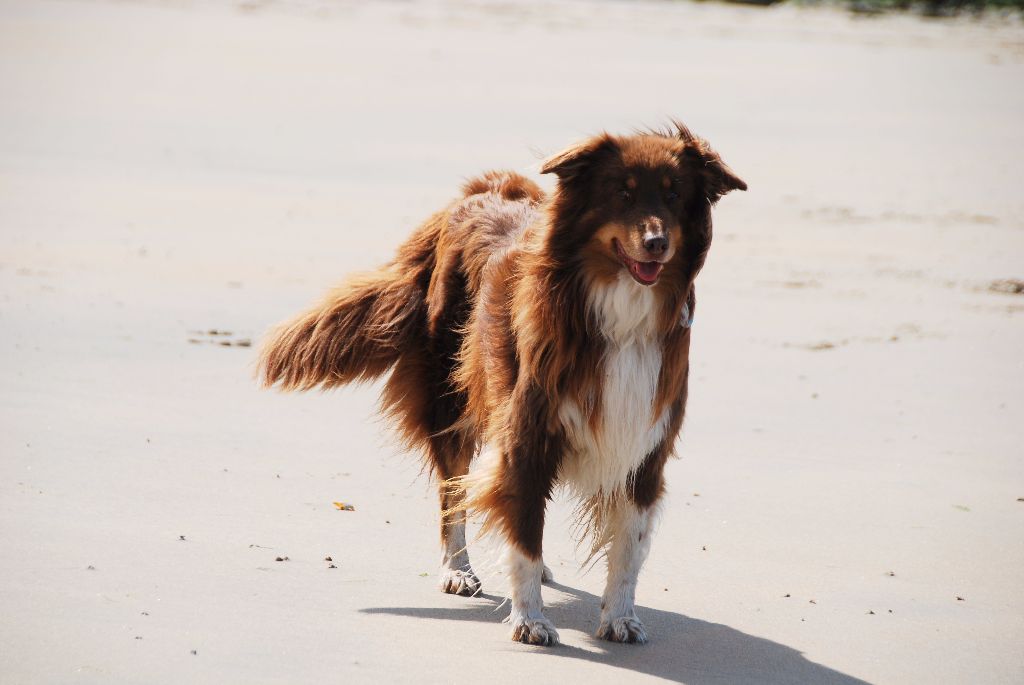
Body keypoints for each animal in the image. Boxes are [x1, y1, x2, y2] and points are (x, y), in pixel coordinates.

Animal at [258, 122, 745, 646]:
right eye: (623, 193)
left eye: (675, 196)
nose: (657, 242)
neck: (619, 311)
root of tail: (475, 193)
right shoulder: (528, 434)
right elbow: (523, 534)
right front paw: (529, 618)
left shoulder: (645, 445)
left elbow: (627, 550)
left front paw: (620, 617)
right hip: (451, 399)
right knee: (454, 491)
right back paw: (458, 570)